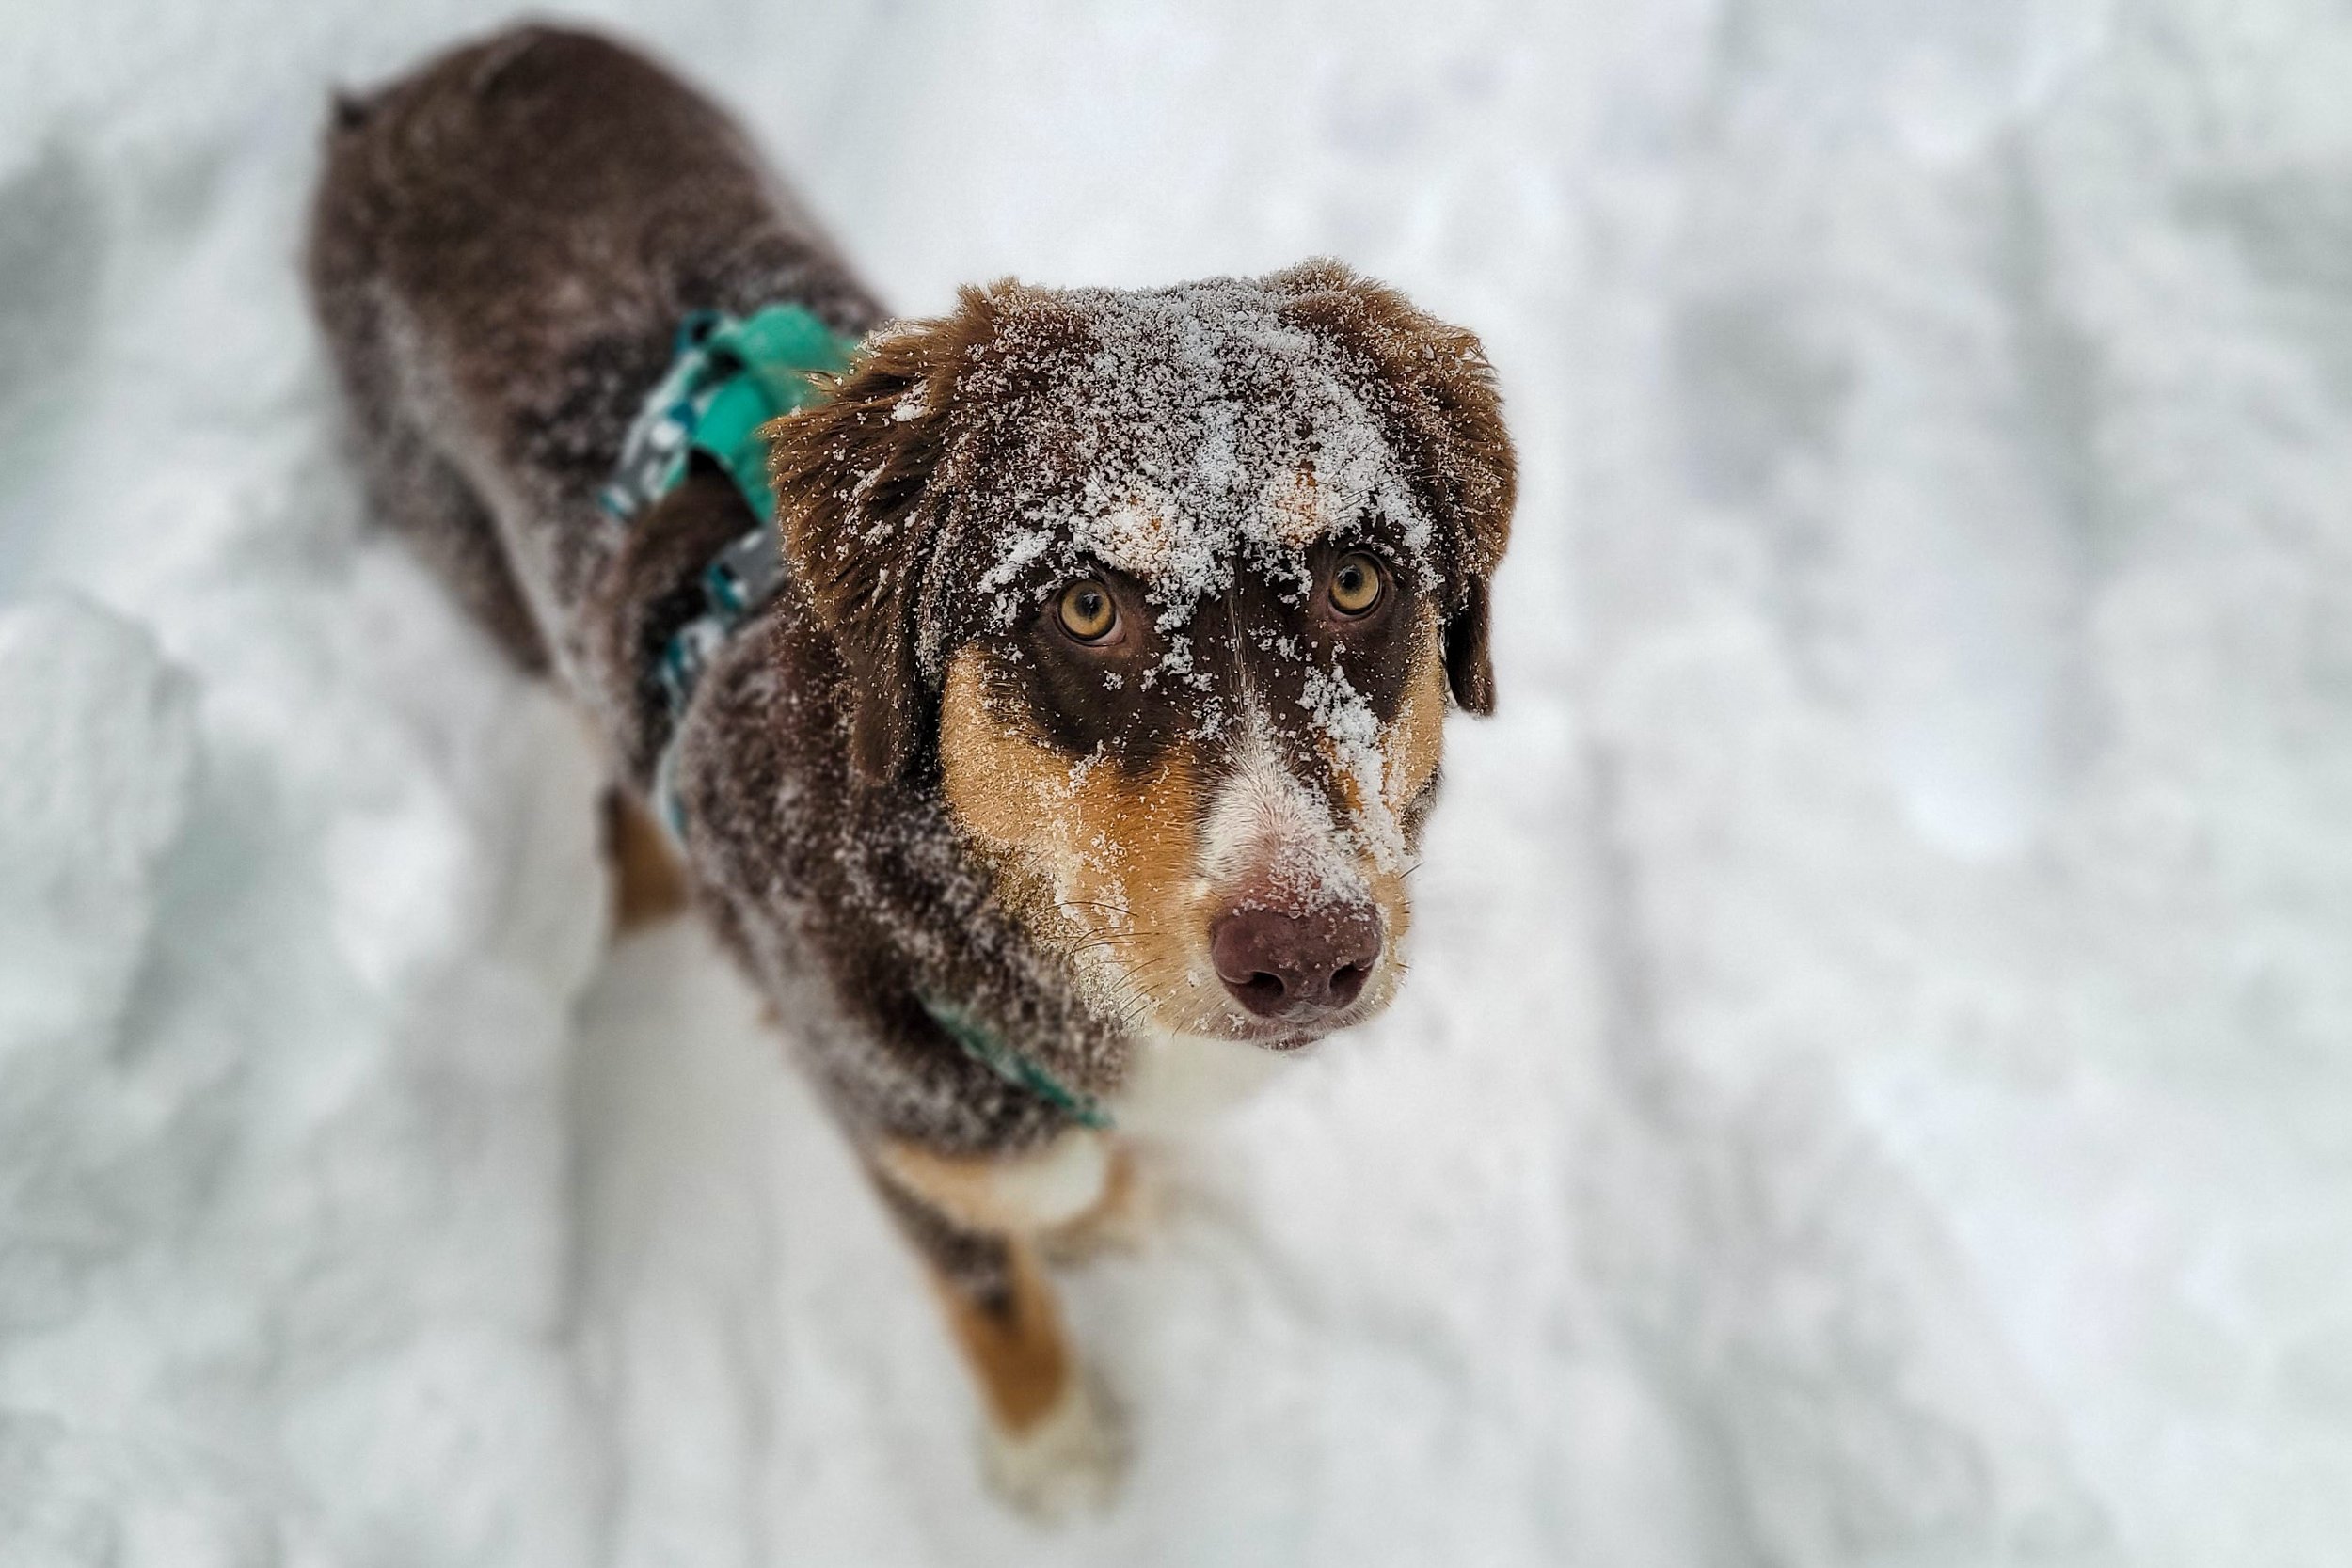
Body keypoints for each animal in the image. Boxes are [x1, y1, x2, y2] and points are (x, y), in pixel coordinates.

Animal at [308, 24, 1505, 1523]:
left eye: (1357, 579)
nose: (1305, 955)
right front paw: (1060, 1464)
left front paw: (1108, 1212)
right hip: (477, 573)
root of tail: (431, 72)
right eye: (1086, 609)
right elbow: (997, 1295)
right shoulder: (901, 1131)